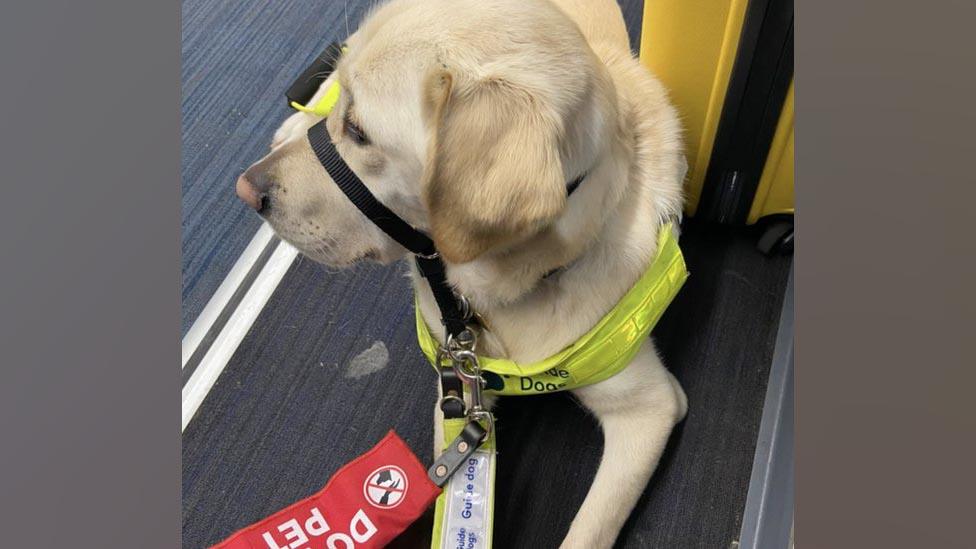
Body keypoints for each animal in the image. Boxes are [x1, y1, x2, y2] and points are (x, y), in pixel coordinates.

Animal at [236, 0, 688, 544]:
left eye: (361, 132)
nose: (247, 190)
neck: (518, 283)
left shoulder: (651, 407)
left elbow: (588, 530)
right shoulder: (452, 386)